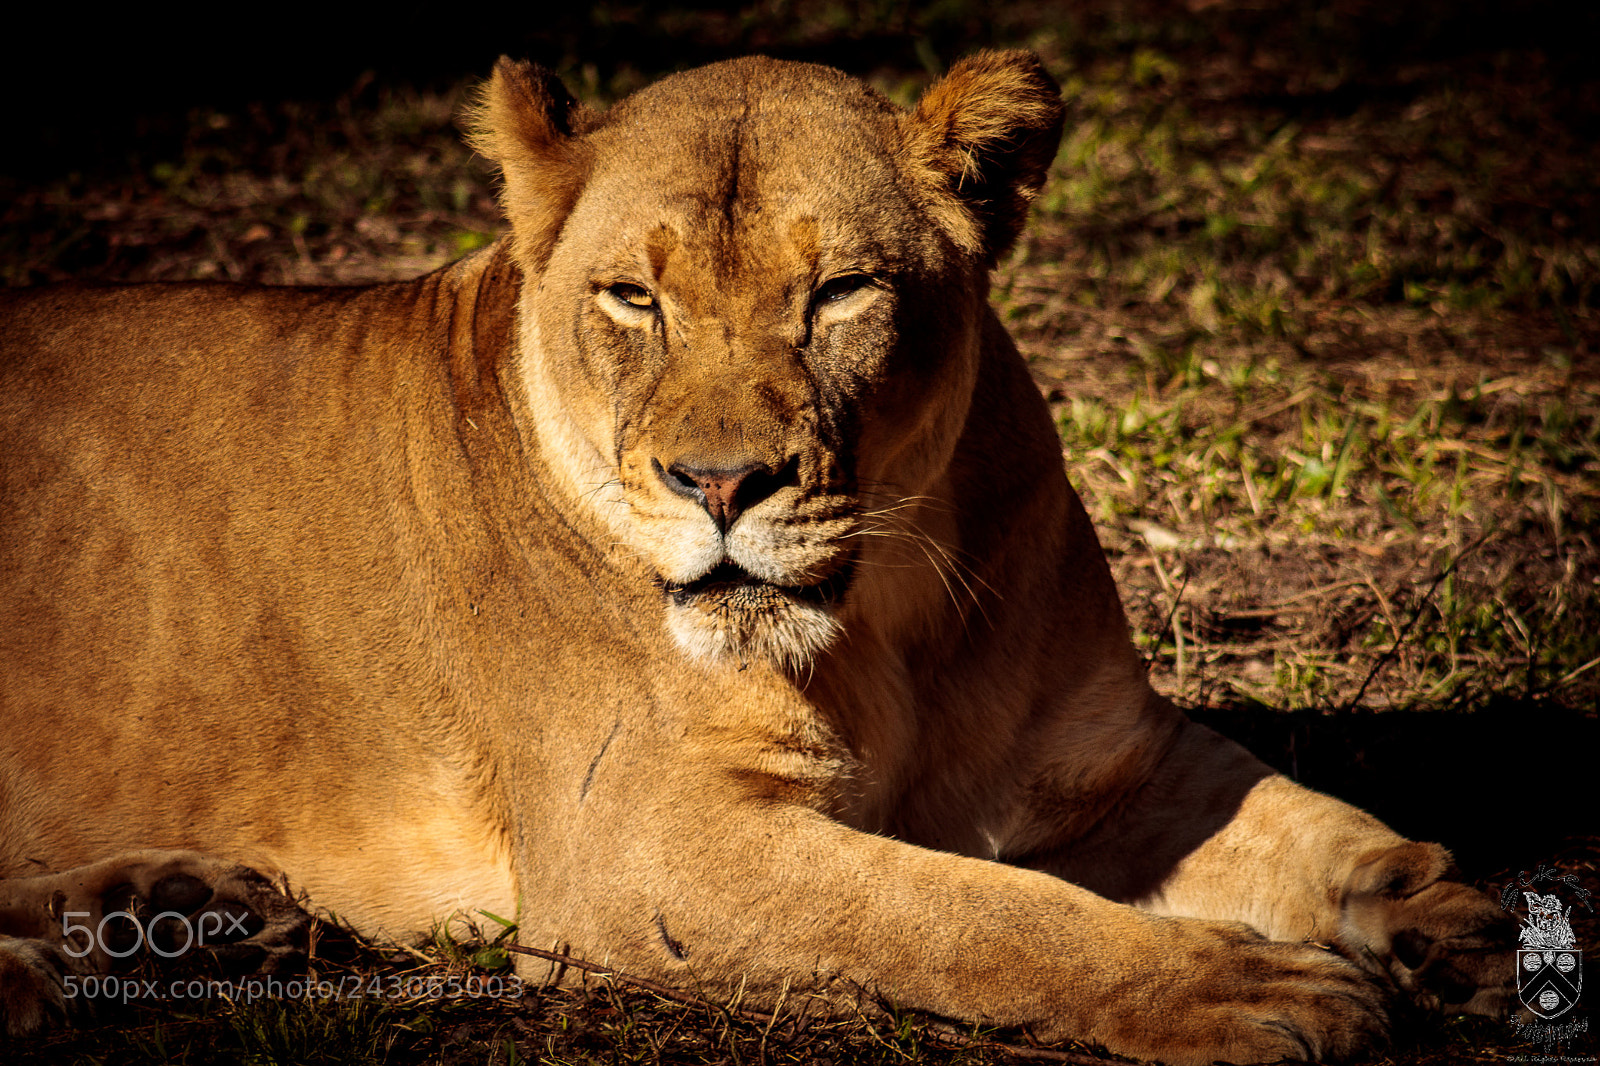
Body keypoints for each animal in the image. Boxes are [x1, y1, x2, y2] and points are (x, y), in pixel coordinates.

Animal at [0, 51, 1513, 1064]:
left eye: (838, 292)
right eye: (632, 298)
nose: (721, 483)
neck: (889, 623)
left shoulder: (1108, 768)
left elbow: (1301, 817)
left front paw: (1450, 918)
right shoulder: (649, 851)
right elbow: (978, 916)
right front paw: (1242, 989)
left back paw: (175, 915)